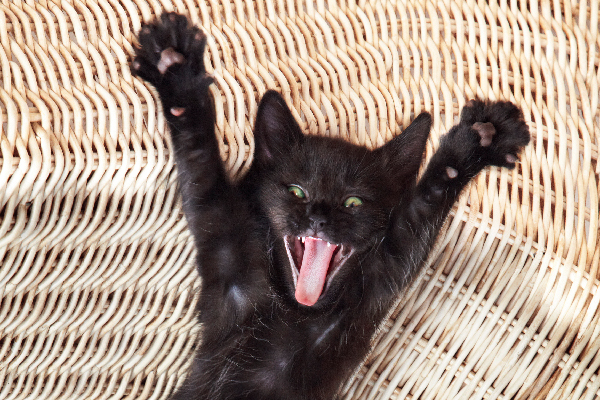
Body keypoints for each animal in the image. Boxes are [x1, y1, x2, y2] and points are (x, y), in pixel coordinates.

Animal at [131, 12, 528, 400]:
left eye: (352, 202)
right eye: (297, 192)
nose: (318, 217)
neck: (295, 308)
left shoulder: (379, 281)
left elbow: (422, 210)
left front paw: (472, 147)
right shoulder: (226, 251)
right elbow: (201, 167)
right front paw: (177, 73)